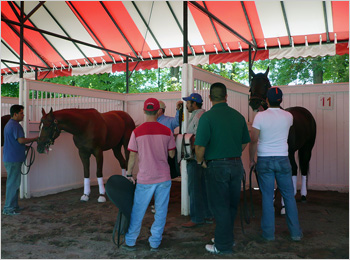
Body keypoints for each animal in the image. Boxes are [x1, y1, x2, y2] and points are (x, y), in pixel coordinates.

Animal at [249, 68, 318, 212]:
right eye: (251, 84)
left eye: (266, 84)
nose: (254, 103)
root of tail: (305, 112)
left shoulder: (287, 152)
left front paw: (284, 205)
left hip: (307, 148)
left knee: (301, 167)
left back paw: (303, 195)